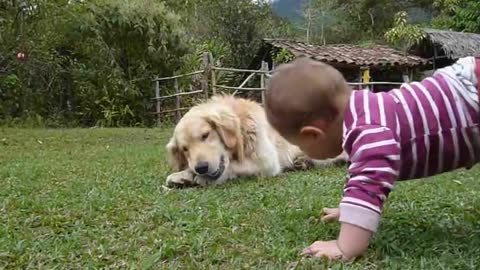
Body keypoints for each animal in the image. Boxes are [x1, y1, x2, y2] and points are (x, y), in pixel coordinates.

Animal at [165, 95, 344, 188]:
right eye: (185, 149)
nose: (201, 168)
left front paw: (201, 178)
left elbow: (233, 167)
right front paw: (183, 176)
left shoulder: (267, 161)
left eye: (205, 135)